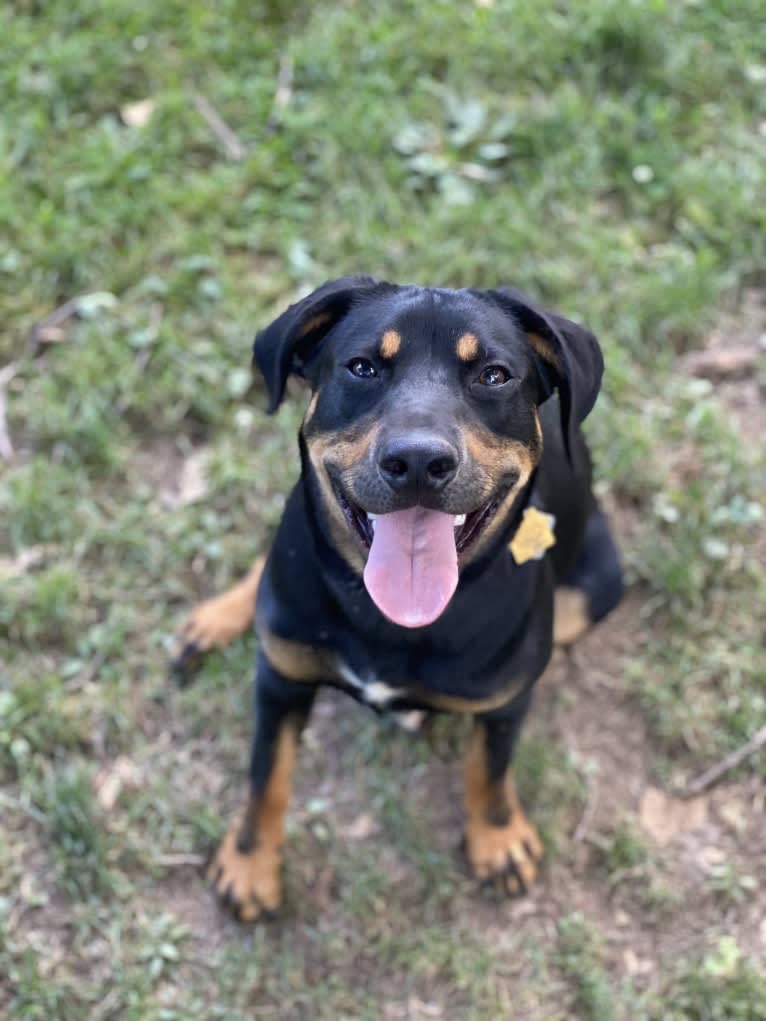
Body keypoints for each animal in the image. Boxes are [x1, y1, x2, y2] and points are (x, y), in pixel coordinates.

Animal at [173, 275, 625, 922]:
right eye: (363, 367)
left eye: (494, 375)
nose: (416, 460)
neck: (391, 619)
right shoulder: (280, 678)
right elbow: (266, 777)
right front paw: (249, 865)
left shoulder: (507, 701)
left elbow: (490, 770)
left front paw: (499, 840)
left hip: (594, 589)